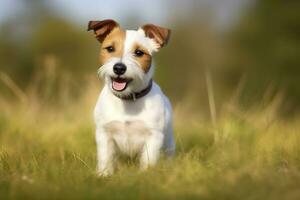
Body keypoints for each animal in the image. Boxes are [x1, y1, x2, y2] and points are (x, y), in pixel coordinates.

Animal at [88, 18, 175, 175]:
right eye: (110, 48)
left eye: (139, 52)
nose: (119, 68)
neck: (127, 100)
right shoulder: (104, 133)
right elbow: (106, 158)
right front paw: (104, 175)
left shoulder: (154, 136)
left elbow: (148, 161)